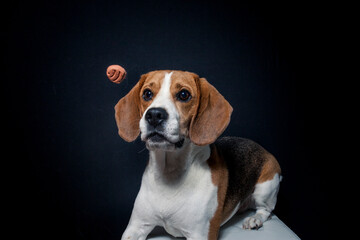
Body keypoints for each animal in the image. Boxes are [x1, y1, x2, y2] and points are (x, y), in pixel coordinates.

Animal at [114, 70, 282, 240]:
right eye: (147, 94)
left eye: (184, 94)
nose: (154, 115)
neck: (169, 172)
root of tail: (260, 147)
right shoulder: (136, 227)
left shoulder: (199, 234)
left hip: (266, 188)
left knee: (266, 210)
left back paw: (254, 220)